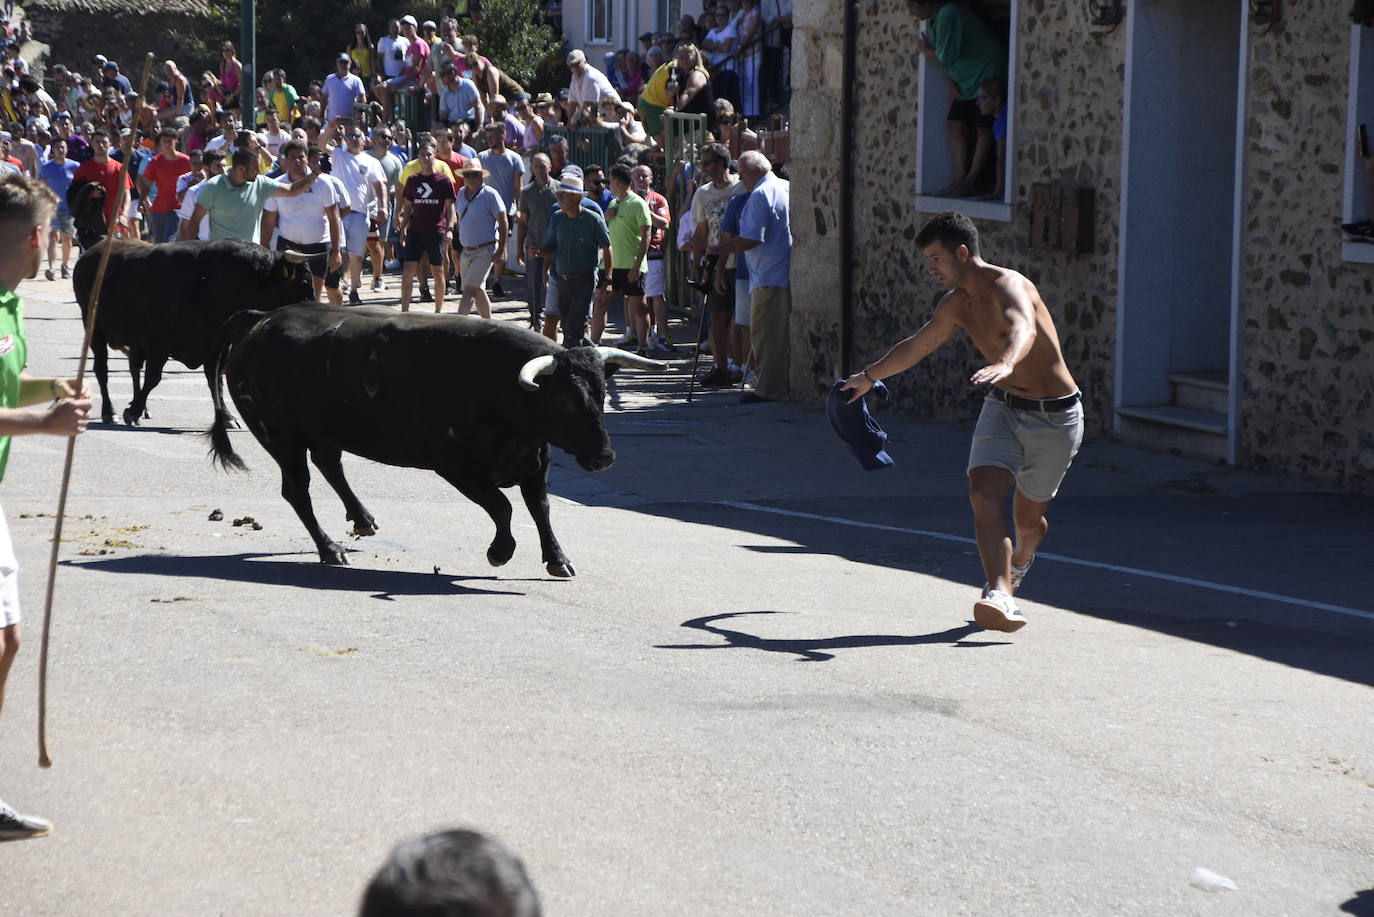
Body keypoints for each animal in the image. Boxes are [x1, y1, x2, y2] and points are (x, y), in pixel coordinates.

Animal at [73, 235, 314, 426]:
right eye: (304, 283)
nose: (312, 314)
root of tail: (90, 254)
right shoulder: (159, 344)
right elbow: (153, 378)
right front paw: (131, 412)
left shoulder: (214, 346)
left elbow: (215, 380)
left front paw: (227, 417)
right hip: (93, 329)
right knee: (102, 370)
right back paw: (110, 411)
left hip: (134, 341)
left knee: (133, 369)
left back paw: (143, 409)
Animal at [204, 307, 670, 577]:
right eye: (566, 401)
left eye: (601, 394)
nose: (603, 457)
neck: (504, 391)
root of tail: (260, 319)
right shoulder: (456, 466)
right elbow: (502, 507)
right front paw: (500, 552)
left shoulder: (537, 461)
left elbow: (540, 509)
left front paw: (558, 559)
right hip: (280, 437)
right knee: (297, 489)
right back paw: (331, 549)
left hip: (322, 430)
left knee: (329, 464)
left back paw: (362, 519)